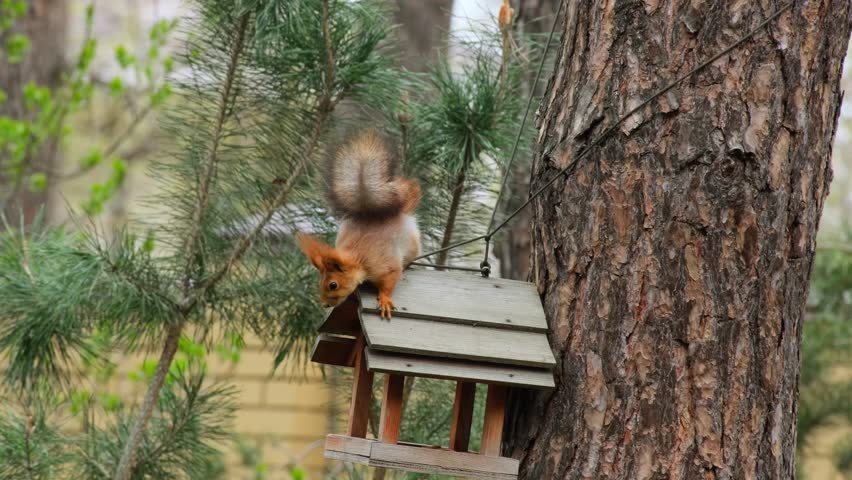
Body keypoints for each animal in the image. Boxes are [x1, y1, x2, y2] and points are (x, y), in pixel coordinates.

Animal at [296, 129, 421, 319]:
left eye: (333, 285)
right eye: (319, 283)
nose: (325, 304)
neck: (358, 256)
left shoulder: (386, 265)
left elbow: (390, 281)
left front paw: (384, 299)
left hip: (412, 245)